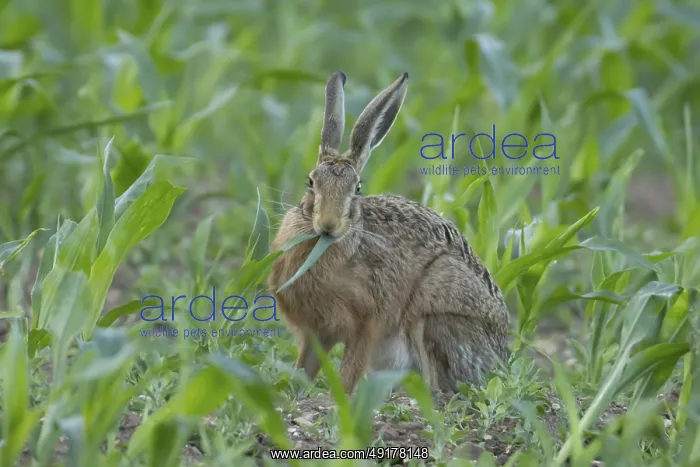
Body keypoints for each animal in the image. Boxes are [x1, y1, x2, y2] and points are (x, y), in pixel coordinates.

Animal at [267, 70, 510, 395]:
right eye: (310, 182)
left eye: (357, 188)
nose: (328, 224)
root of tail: (501, 358)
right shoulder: (317, 333)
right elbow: (305, 366)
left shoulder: (367, 323)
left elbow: (349, 371)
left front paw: (340, 399)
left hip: (436, 310)